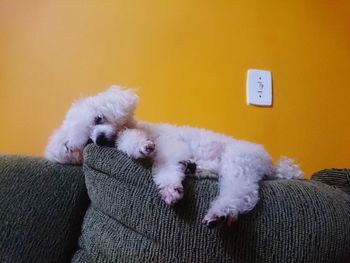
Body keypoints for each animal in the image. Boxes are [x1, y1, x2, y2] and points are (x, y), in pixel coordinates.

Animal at [45, 86, 304, 229]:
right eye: (87, 141)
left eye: (99, 118)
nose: (99, 140)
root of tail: (270, 164)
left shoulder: (170, 146)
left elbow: (165, 166)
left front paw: (169, 185)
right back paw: (193, 167)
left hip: (239, 161)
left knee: (241, 192)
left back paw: (221, 213)